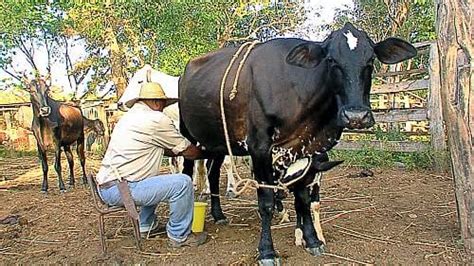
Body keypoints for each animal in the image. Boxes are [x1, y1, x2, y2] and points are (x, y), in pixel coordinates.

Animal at [178, 23, 414, 264]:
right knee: (187, 172)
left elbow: (302, 197)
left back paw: (218, 214)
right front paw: (267, 251)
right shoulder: (260, 147)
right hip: (188, 136)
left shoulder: (303, 149)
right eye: (331, 60)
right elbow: (266, 201)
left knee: (213, 172)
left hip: (217, 142)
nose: (356, 116)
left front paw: (312, 240)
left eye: (370, 60)